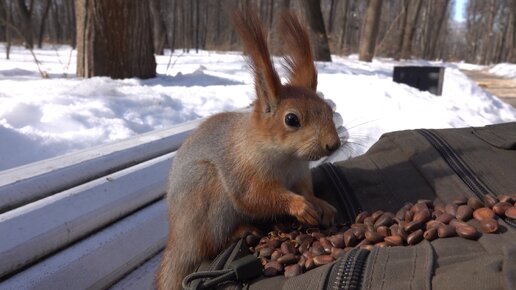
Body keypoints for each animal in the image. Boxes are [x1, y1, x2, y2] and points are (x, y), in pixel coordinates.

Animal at [157, 9, 342, 290]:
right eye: (291, 119)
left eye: (329, 110)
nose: (334, 145)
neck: (288, 159)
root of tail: (178, 240)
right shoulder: (244, 172)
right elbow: (257, 196)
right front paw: (299, 206)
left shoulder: (300, 173)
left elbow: (306, 190)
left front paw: (321, 204)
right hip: (206, 195)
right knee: (208, 246)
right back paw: (241, 231)